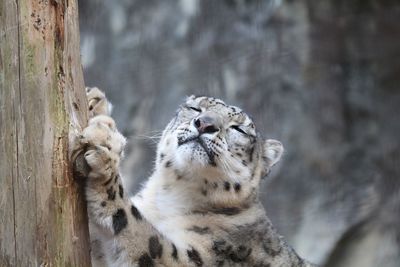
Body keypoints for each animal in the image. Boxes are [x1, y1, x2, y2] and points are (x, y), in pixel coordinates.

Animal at [73, 88, 314, 267]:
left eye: (239, 129)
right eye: (195, 108)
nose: (205, 123)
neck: (168, 196)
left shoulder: (195, 258)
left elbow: (138, 228)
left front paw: (105, 147)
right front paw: (95, 103)